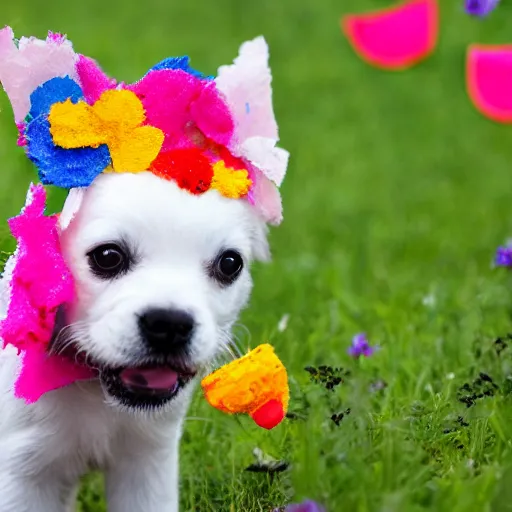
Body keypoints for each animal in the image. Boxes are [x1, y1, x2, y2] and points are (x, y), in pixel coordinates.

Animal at [0, 170, 270, 510]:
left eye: (230, 263)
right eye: (107, 257)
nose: (170, 325)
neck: (94, 391)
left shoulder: (148, 464)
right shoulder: (21, 476)